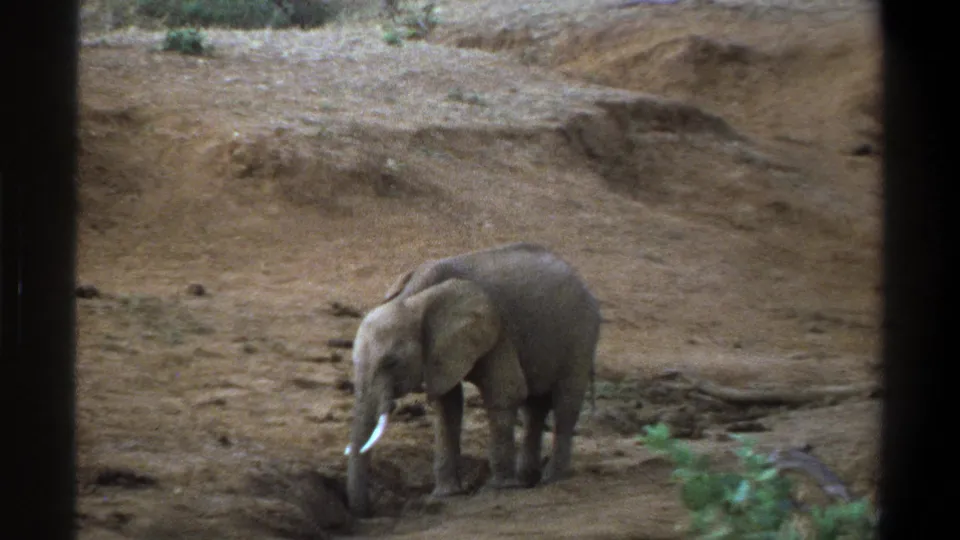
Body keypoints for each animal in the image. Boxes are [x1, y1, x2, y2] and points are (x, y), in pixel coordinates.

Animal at [343, 242, 602, 517]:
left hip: (581, 334)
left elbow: (505, 392)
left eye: (391, 362)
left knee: (565, 404)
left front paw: (499, 489)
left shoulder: (497, 330)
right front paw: (446, 494)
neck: (413, 298)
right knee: (535, 407)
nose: (369, 510)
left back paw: (551, 479)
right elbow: (448, 405)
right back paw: (527, 480)